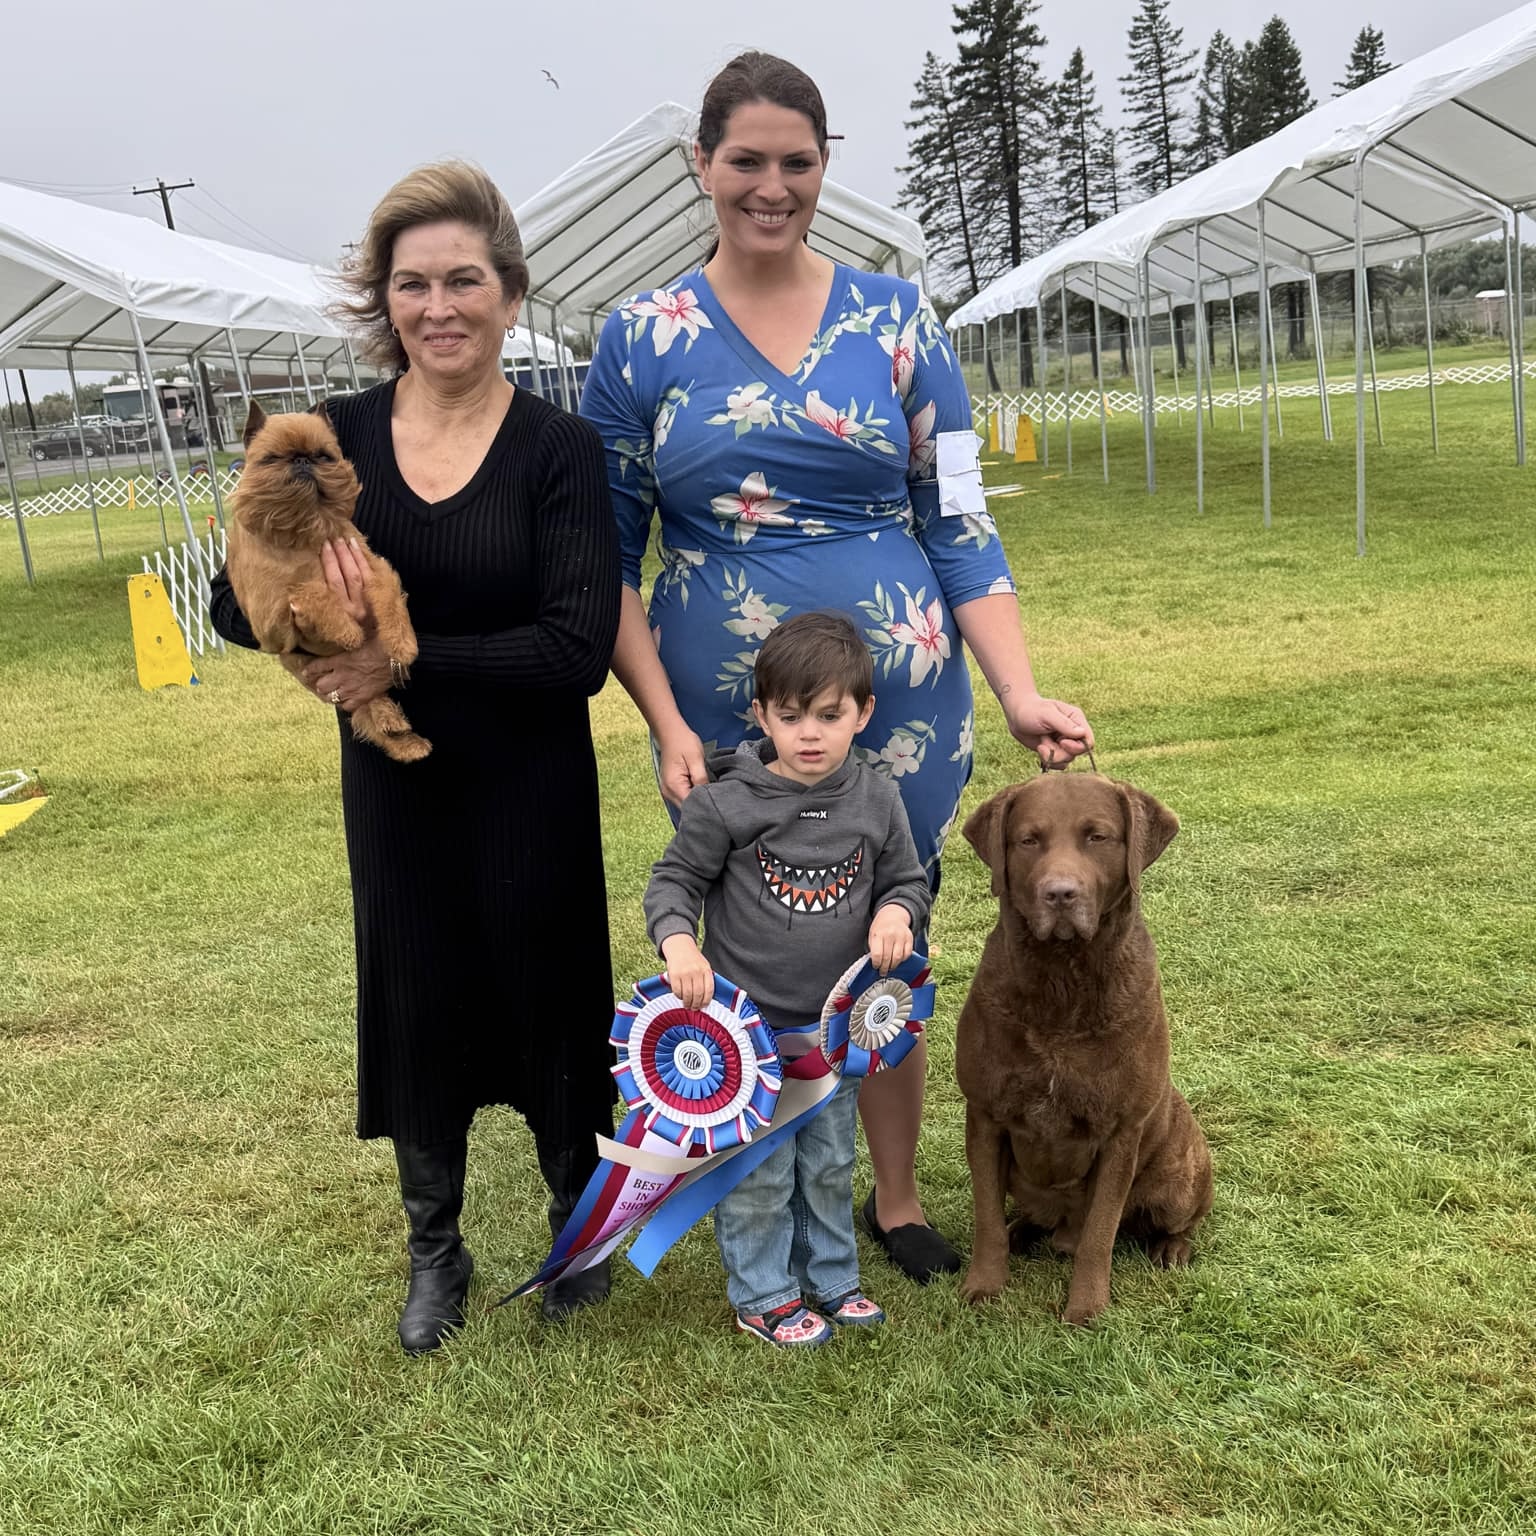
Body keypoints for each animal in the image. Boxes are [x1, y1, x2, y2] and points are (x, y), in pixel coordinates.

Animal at [225, 401, 430, 763]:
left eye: (323, 456)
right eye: (272, 458)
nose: (302, 460)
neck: (303, 532)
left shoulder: (373, 568)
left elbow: (390, 600)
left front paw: (403, 645)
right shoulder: (271, 624)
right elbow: (310, 590)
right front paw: (347, 631)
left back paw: (401, 734)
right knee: (366, 710)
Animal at [954, 773, 1212, 1324]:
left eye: (1097, 837)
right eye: (1028, 840)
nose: (1059, 893)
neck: (1062, 985)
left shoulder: (1120, 1132)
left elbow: (1100, 1233)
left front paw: (1087, 1309)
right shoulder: (985, 1116)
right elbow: (986, 1217)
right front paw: (984, 1284)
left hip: (1178, 1175)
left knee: (1179, 1218)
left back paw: (1171, 1249)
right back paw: (1024, 1232)